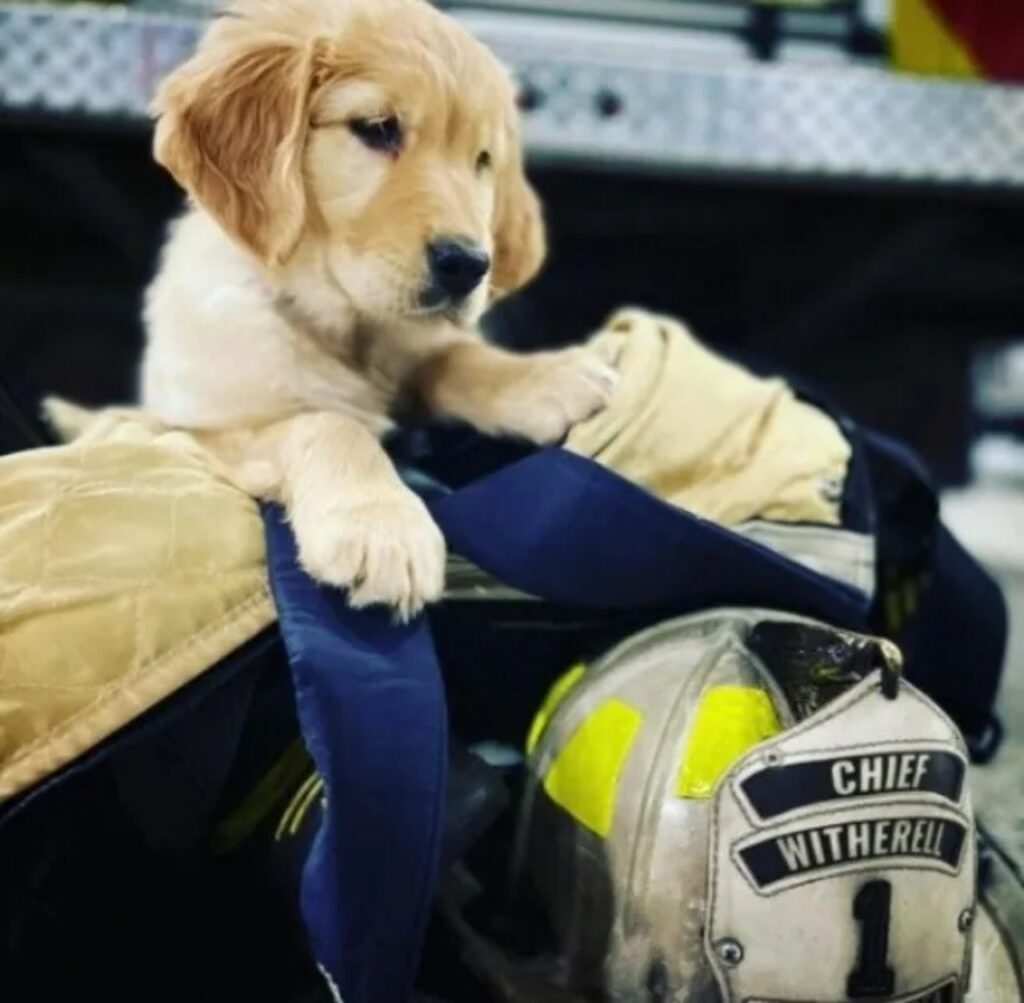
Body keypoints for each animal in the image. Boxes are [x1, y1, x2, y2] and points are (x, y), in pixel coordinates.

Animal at [144, 0, 614, 618]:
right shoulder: (199, 427)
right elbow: (329, 421)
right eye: (378, 129)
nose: (469, 264)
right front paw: (382, 527)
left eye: (483, 159)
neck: (346, 330)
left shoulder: (416, 343)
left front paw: (544, 376)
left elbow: (453, 355)